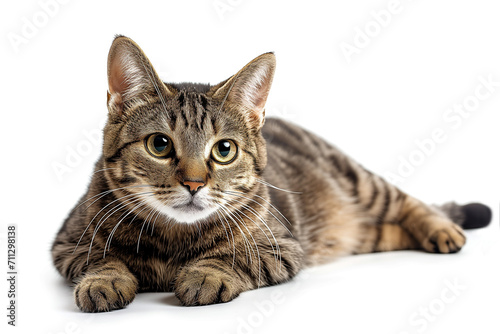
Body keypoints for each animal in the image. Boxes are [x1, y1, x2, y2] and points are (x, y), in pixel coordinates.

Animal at [51, 35, 492, 312]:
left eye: (224, 150)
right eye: (159, 145)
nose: (194, 183)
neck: (175, 240)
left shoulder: (284, 247)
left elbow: (233, 258)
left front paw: (205, 274)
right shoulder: (66, 244)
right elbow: (100, 258)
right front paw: (105, 280)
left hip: (360, 182)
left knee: (408, 201)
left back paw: (443, 231)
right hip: (363, 235)